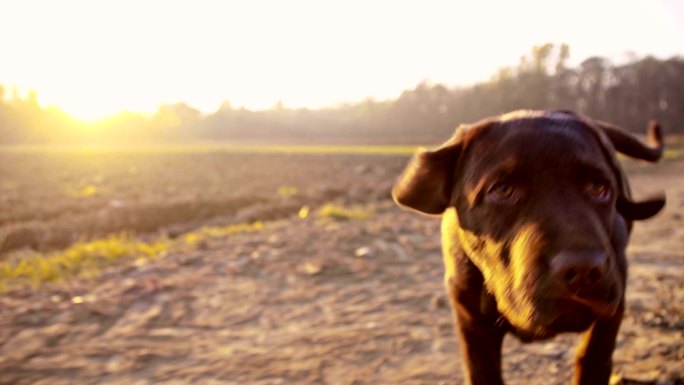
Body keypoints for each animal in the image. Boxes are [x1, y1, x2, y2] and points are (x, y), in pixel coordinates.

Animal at [392, 110, 664, 384]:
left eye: (599, 188)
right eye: (502, 190)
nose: (583, 271)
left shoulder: (613, 306)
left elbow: (592, 357)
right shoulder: (471, 320)